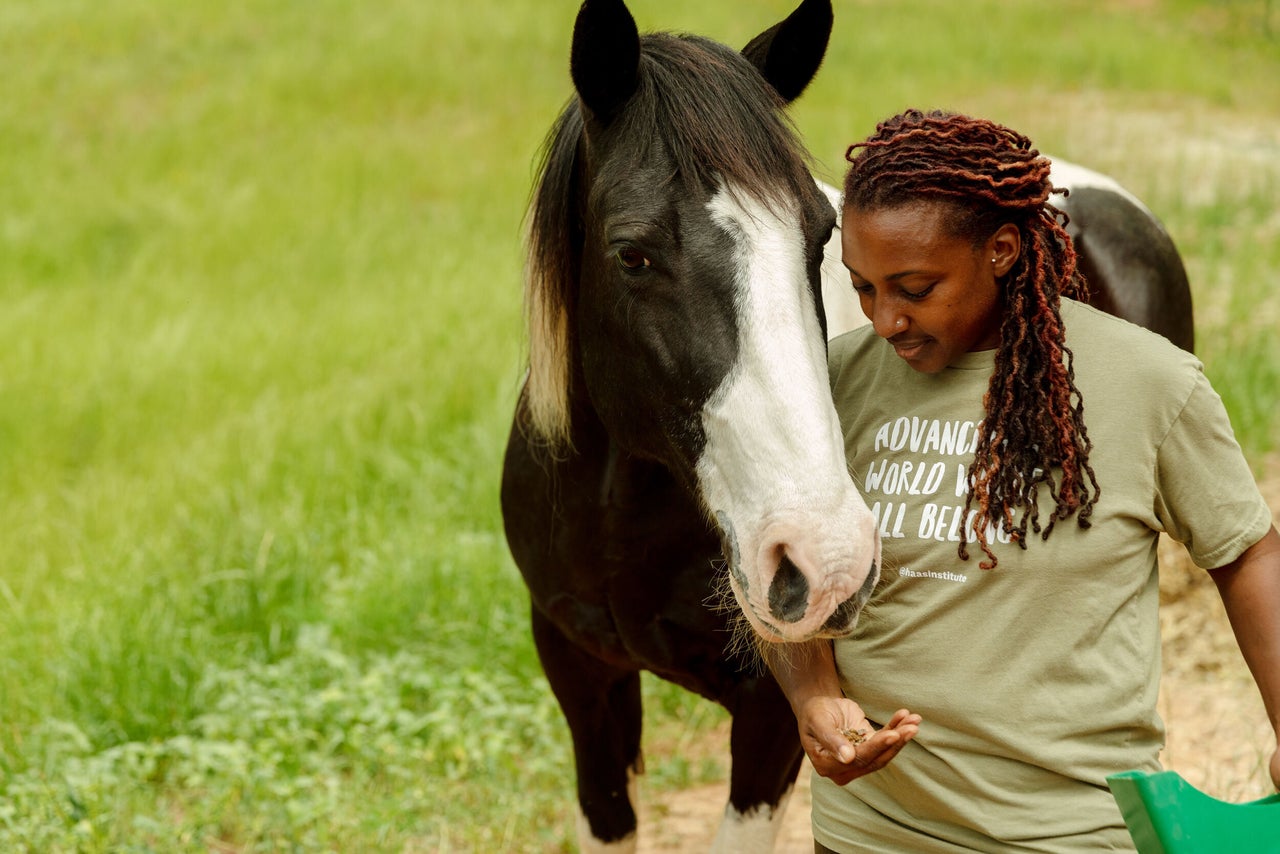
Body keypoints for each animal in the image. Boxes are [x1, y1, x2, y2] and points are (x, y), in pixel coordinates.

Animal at [496, 0, 1187, 850]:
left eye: (820, 233)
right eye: (632, 254)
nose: (826, 561)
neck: (626, 512)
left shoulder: (769, 715)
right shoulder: (580, 675)